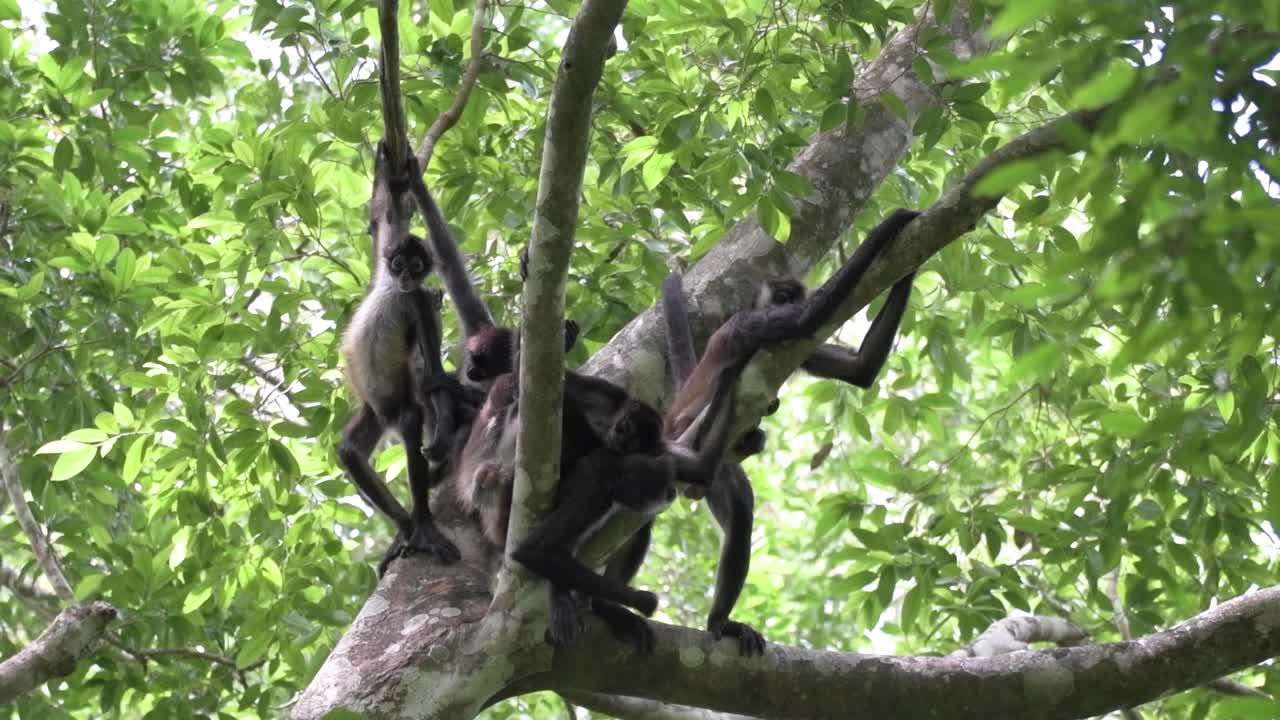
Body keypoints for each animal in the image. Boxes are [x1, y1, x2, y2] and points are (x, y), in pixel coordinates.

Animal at [339, 141, 461, 574]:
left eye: (417, 265)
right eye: (398, 262)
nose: (406, 275)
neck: (393, 292)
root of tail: (387, 415)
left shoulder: (419, 302)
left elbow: (433, 370)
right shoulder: (383, 268)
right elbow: (386, 216)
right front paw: (398, 169)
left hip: (398, 405)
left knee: (411, 420)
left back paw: (420, 524)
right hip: (375, 412)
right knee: (348, 452)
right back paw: (406, 528)